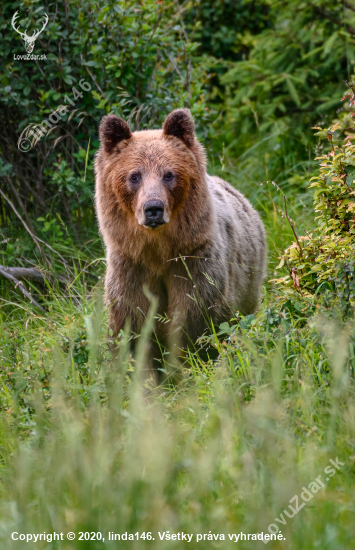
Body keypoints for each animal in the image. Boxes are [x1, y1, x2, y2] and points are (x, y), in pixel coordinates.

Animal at [94, 108, 268, 364]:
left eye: (168, 174)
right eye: (134, 176)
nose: (153, 208)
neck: (158, 250)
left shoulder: (193, 262)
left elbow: (197, 321)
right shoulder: (131, 267)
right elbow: (131, 324)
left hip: (248, 279)